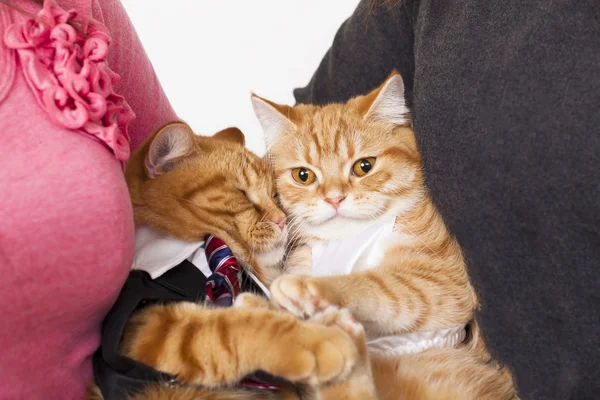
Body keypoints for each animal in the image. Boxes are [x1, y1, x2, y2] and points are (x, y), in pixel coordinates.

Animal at [90, 122, 376, 400]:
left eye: (274, 195)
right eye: (241, 193)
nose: (282, 220)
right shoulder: (151, 328)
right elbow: (237, 326)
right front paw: (314, 338)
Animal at [251, 72, 516, 400]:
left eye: (364, 166)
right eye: (304, 175)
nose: (334, 198)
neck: (347, 241)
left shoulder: (441, 284)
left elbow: (381, 285)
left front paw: (310, 288)